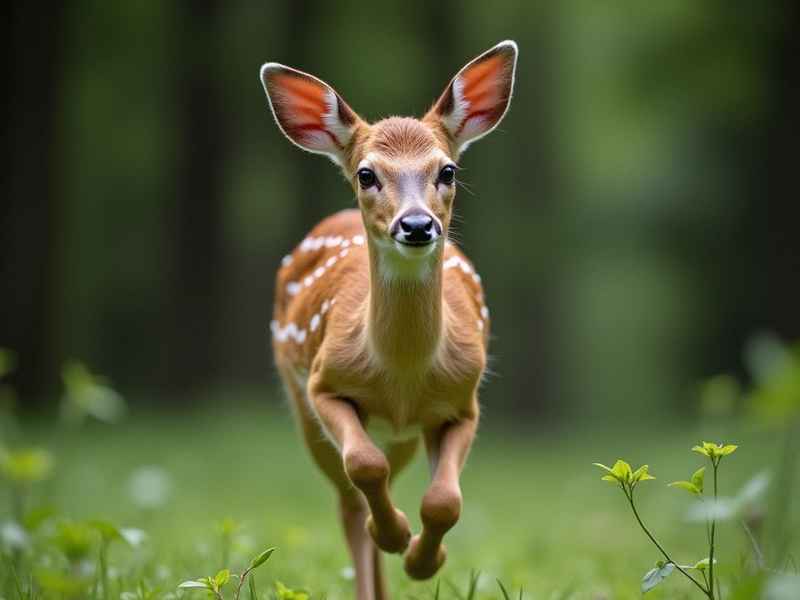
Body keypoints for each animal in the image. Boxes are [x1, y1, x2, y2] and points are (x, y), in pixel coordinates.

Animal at [259, 40, 517, 600]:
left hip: (401, 436)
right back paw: (379, 543)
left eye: (448, 170)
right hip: (303, 410)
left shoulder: (462, 401)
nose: (417, 224)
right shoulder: (322, 383)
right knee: (349, 503)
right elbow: (363, 466)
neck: (401, 378)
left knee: (379, 489)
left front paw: (423, 559)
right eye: (366, 173)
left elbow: (444, 501)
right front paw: (397, 535)